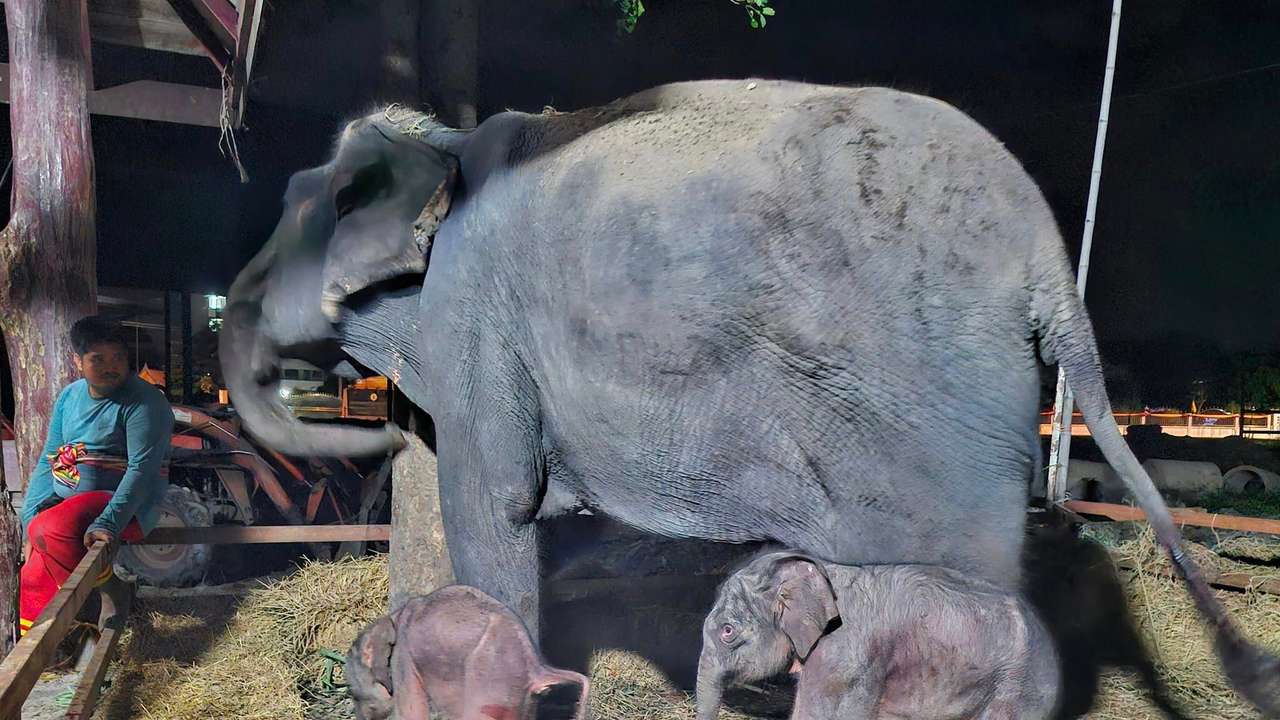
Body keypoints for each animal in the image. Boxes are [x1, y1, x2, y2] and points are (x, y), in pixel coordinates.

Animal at [346, 584, 590, 720]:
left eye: (354, 694)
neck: (394, 617)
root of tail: (538, 669)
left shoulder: (403, 660)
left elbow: (412, 713)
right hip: (521, 700)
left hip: (489, 687)